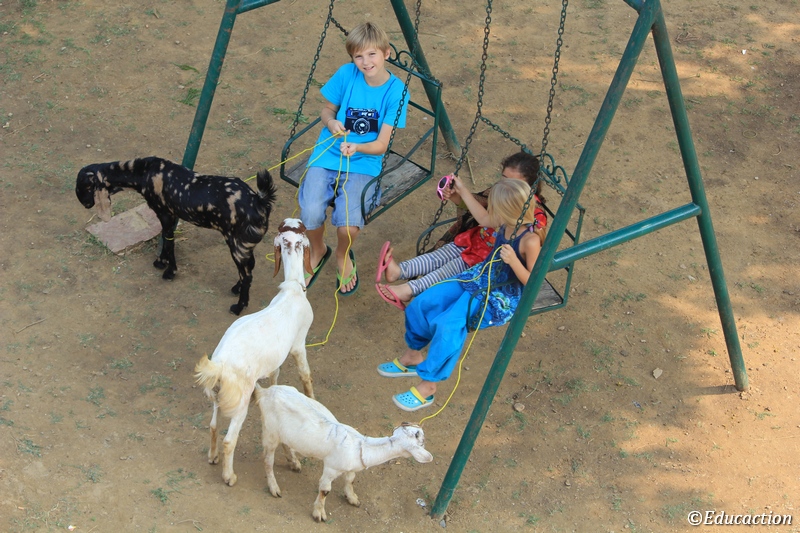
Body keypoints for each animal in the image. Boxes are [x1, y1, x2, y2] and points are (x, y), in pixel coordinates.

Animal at [75, 156, 277, 315]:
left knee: (247, 275)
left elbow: (169, 241)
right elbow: (166, 238)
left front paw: (169, 271)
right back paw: (236, 288)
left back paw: (238, 307)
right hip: (244, 245)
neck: (144, 172)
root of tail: (260, 201)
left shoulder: (164, 213)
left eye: (84, 185)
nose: (84, 204)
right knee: (249, 268)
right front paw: (161, 262)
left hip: (236, 244)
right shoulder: (171, 216)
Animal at [194, 218, 315, 487]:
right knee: (230, 439)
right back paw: (229, 476)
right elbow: (306, 377)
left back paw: (212, 457)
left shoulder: (276, 359)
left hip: (219, 396)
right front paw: (312, 399)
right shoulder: (298, 345)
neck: (292, 290)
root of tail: (219, 364)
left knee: (213, 425)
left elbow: (275, 377)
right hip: (240, 400)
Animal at [255, 384, 434, 522]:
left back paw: (294, 463)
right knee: (267, 460)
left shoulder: (350, 468)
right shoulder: (331, 468)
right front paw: (319, 514)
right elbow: (325, 490)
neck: (360, 446)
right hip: (270, 432)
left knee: (286, 444)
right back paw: (274, 488)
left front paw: (352, 499)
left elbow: (350, 480)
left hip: (284, 432)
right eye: (420, 438)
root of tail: (265, 391)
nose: (423, 434)